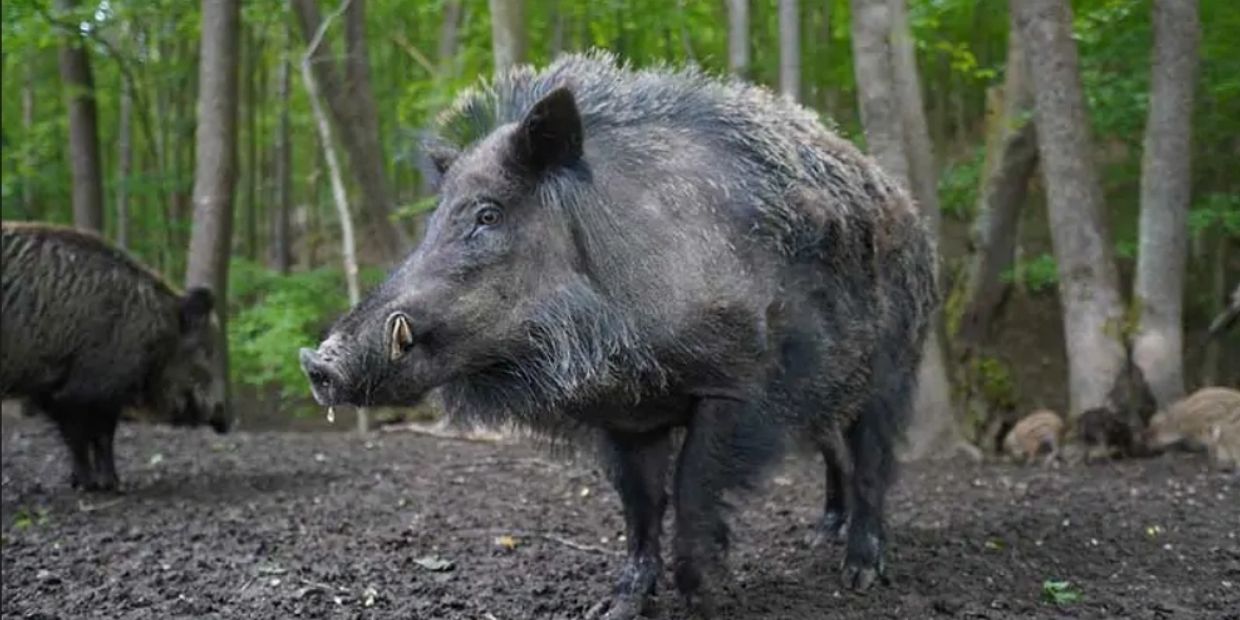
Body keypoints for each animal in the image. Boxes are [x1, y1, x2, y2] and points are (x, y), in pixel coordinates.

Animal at [1, 222, 230, 491]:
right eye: (206, 351)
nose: (226, 418)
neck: (157, 334)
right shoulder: (86, 389)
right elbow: (90, 438)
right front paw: (100, 485)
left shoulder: (61, 392)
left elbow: (95, 438)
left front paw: (97, 483)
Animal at [300, 52, 937, 618]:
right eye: (432, 221)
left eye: (487, 214)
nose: (318, 362)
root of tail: (912, 214)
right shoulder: (625, 417)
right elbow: (639, 507)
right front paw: (614, 607)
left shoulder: (737, 384)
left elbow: (692, 489)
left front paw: (705, 600)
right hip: (832, 391)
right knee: (836, 455)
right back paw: (820, 538)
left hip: (896, 366)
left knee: (873, 461)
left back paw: (859, 574)